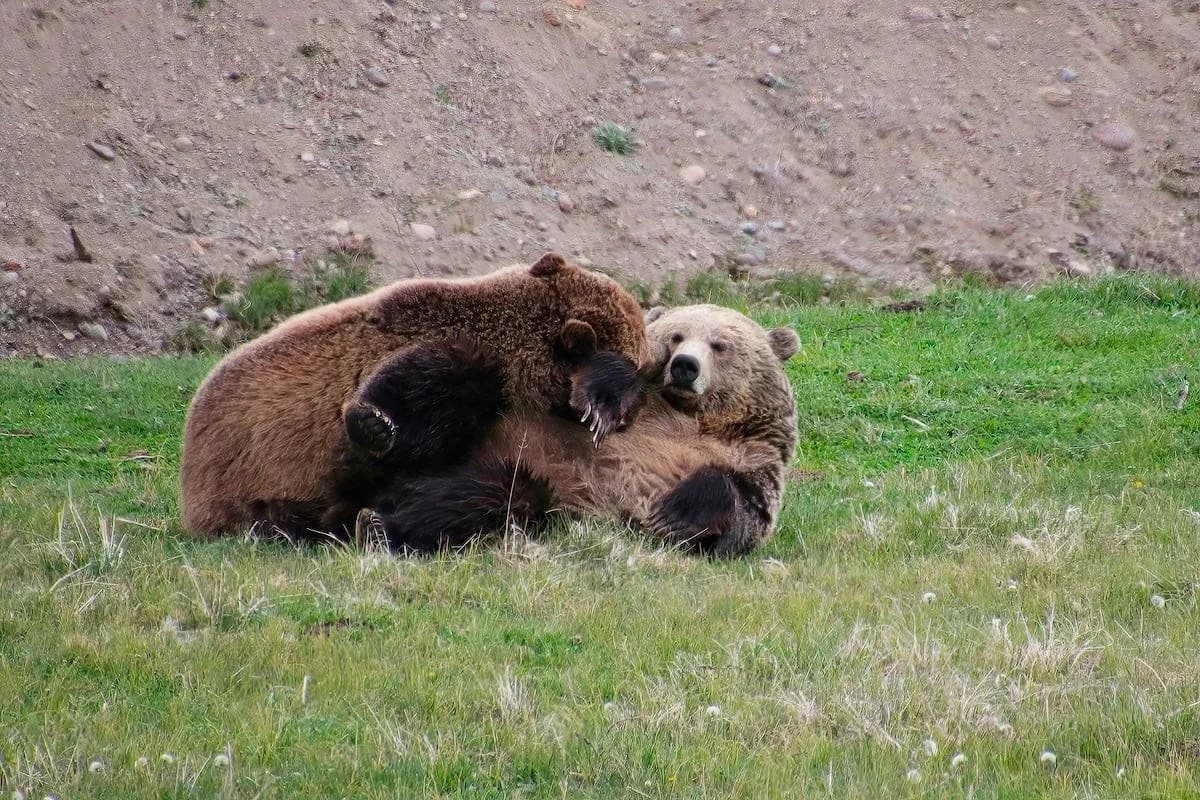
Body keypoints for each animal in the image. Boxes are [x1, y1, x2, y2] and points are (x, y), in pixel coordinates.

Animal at [353, 304, 800, 557]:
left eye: (719, 344)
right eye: (676, 336)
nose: (685, 365)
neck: (691, 415)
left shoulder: (753, 452)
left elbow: (744, 517)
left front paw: (676, 514)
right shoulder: (621, 406)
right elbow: (595, 381)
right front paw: (602, 399)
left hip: (523, 478)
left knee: (483, 497)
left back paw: (381, 524)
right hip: (503, 423)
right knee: (458, 370)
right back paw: (376, 425)